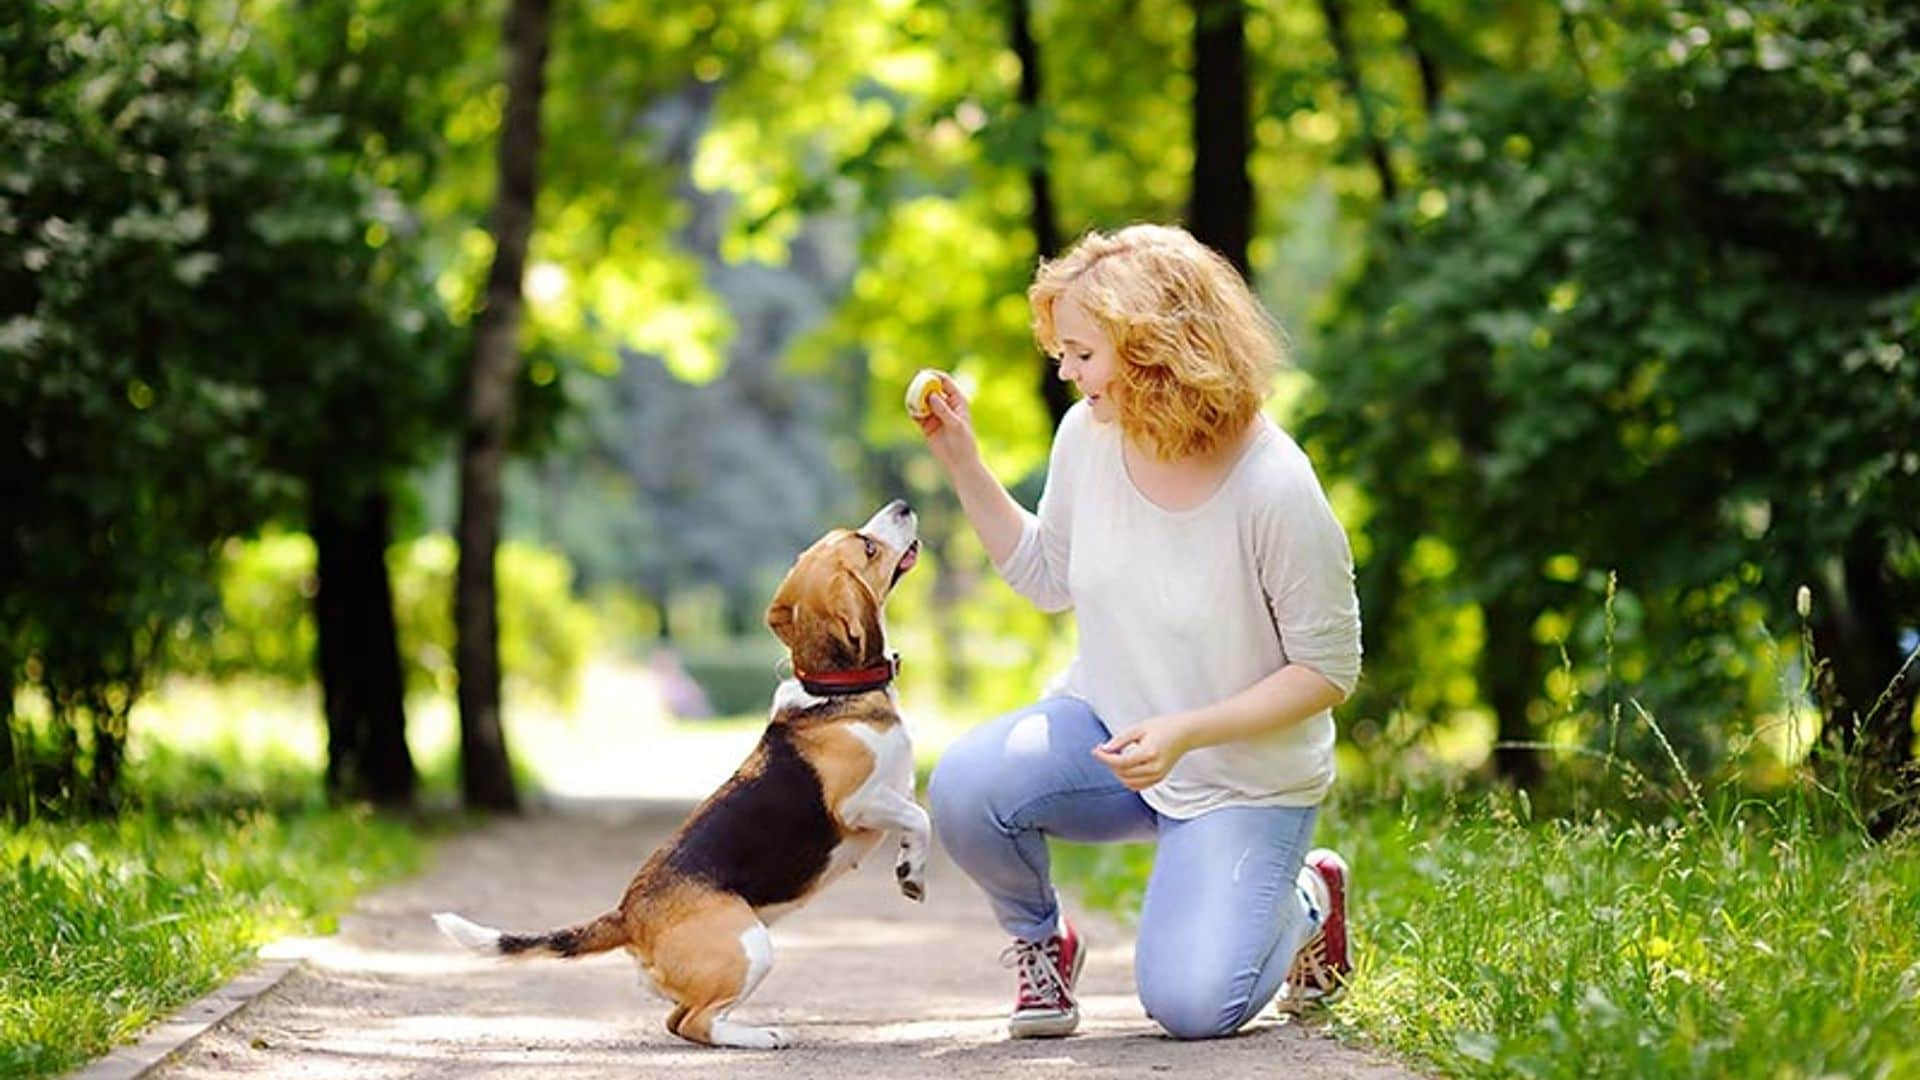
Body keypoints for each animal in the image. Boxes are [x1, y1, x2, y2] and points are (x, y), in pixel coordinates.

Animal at [435, 499, 929, 1045]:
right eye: (867, 547)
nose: (903, 505)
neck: (835, 690)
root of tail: (628, 914)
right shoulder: (858, 803)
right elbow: (921, 817)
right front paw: (912, 872)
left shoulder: (897, 792)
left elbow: (916, 818)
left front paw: (909, 867)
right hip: (751, 946)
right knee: (697, 1022)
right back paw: (761, 1036)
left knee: (679, 1020)